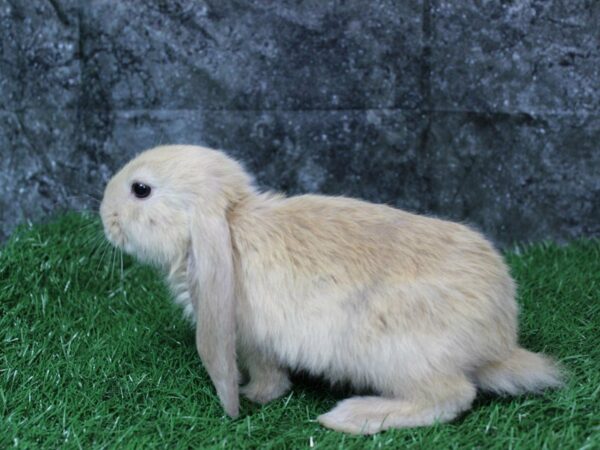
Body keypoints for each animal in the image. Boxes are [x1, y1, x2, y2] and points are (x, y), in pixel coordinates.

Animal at [99, 146, 564, 434]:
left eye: (141, 189)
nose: (104, 213)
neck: (230, 223)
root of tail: (498, 344)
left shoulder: (252, 340)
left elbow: (268, 377)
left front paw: (249, 396)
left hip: (395, 355)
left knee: (451, 397)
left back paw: (352, 417)